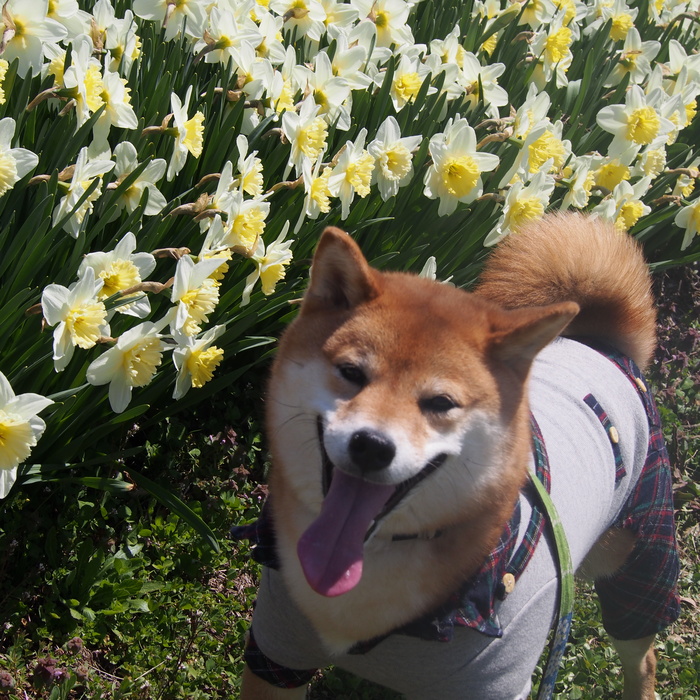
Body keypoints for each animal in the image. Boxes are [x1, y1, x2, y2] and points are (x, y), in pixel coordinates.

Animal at [235, 215, 680, 700]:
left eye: (441, 403)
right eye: (351, 373)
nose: (371, 445)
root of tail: (601, 346)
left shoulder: (495, 682)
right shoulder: (277, 653)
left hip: (640, 564)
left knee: (643, 654)